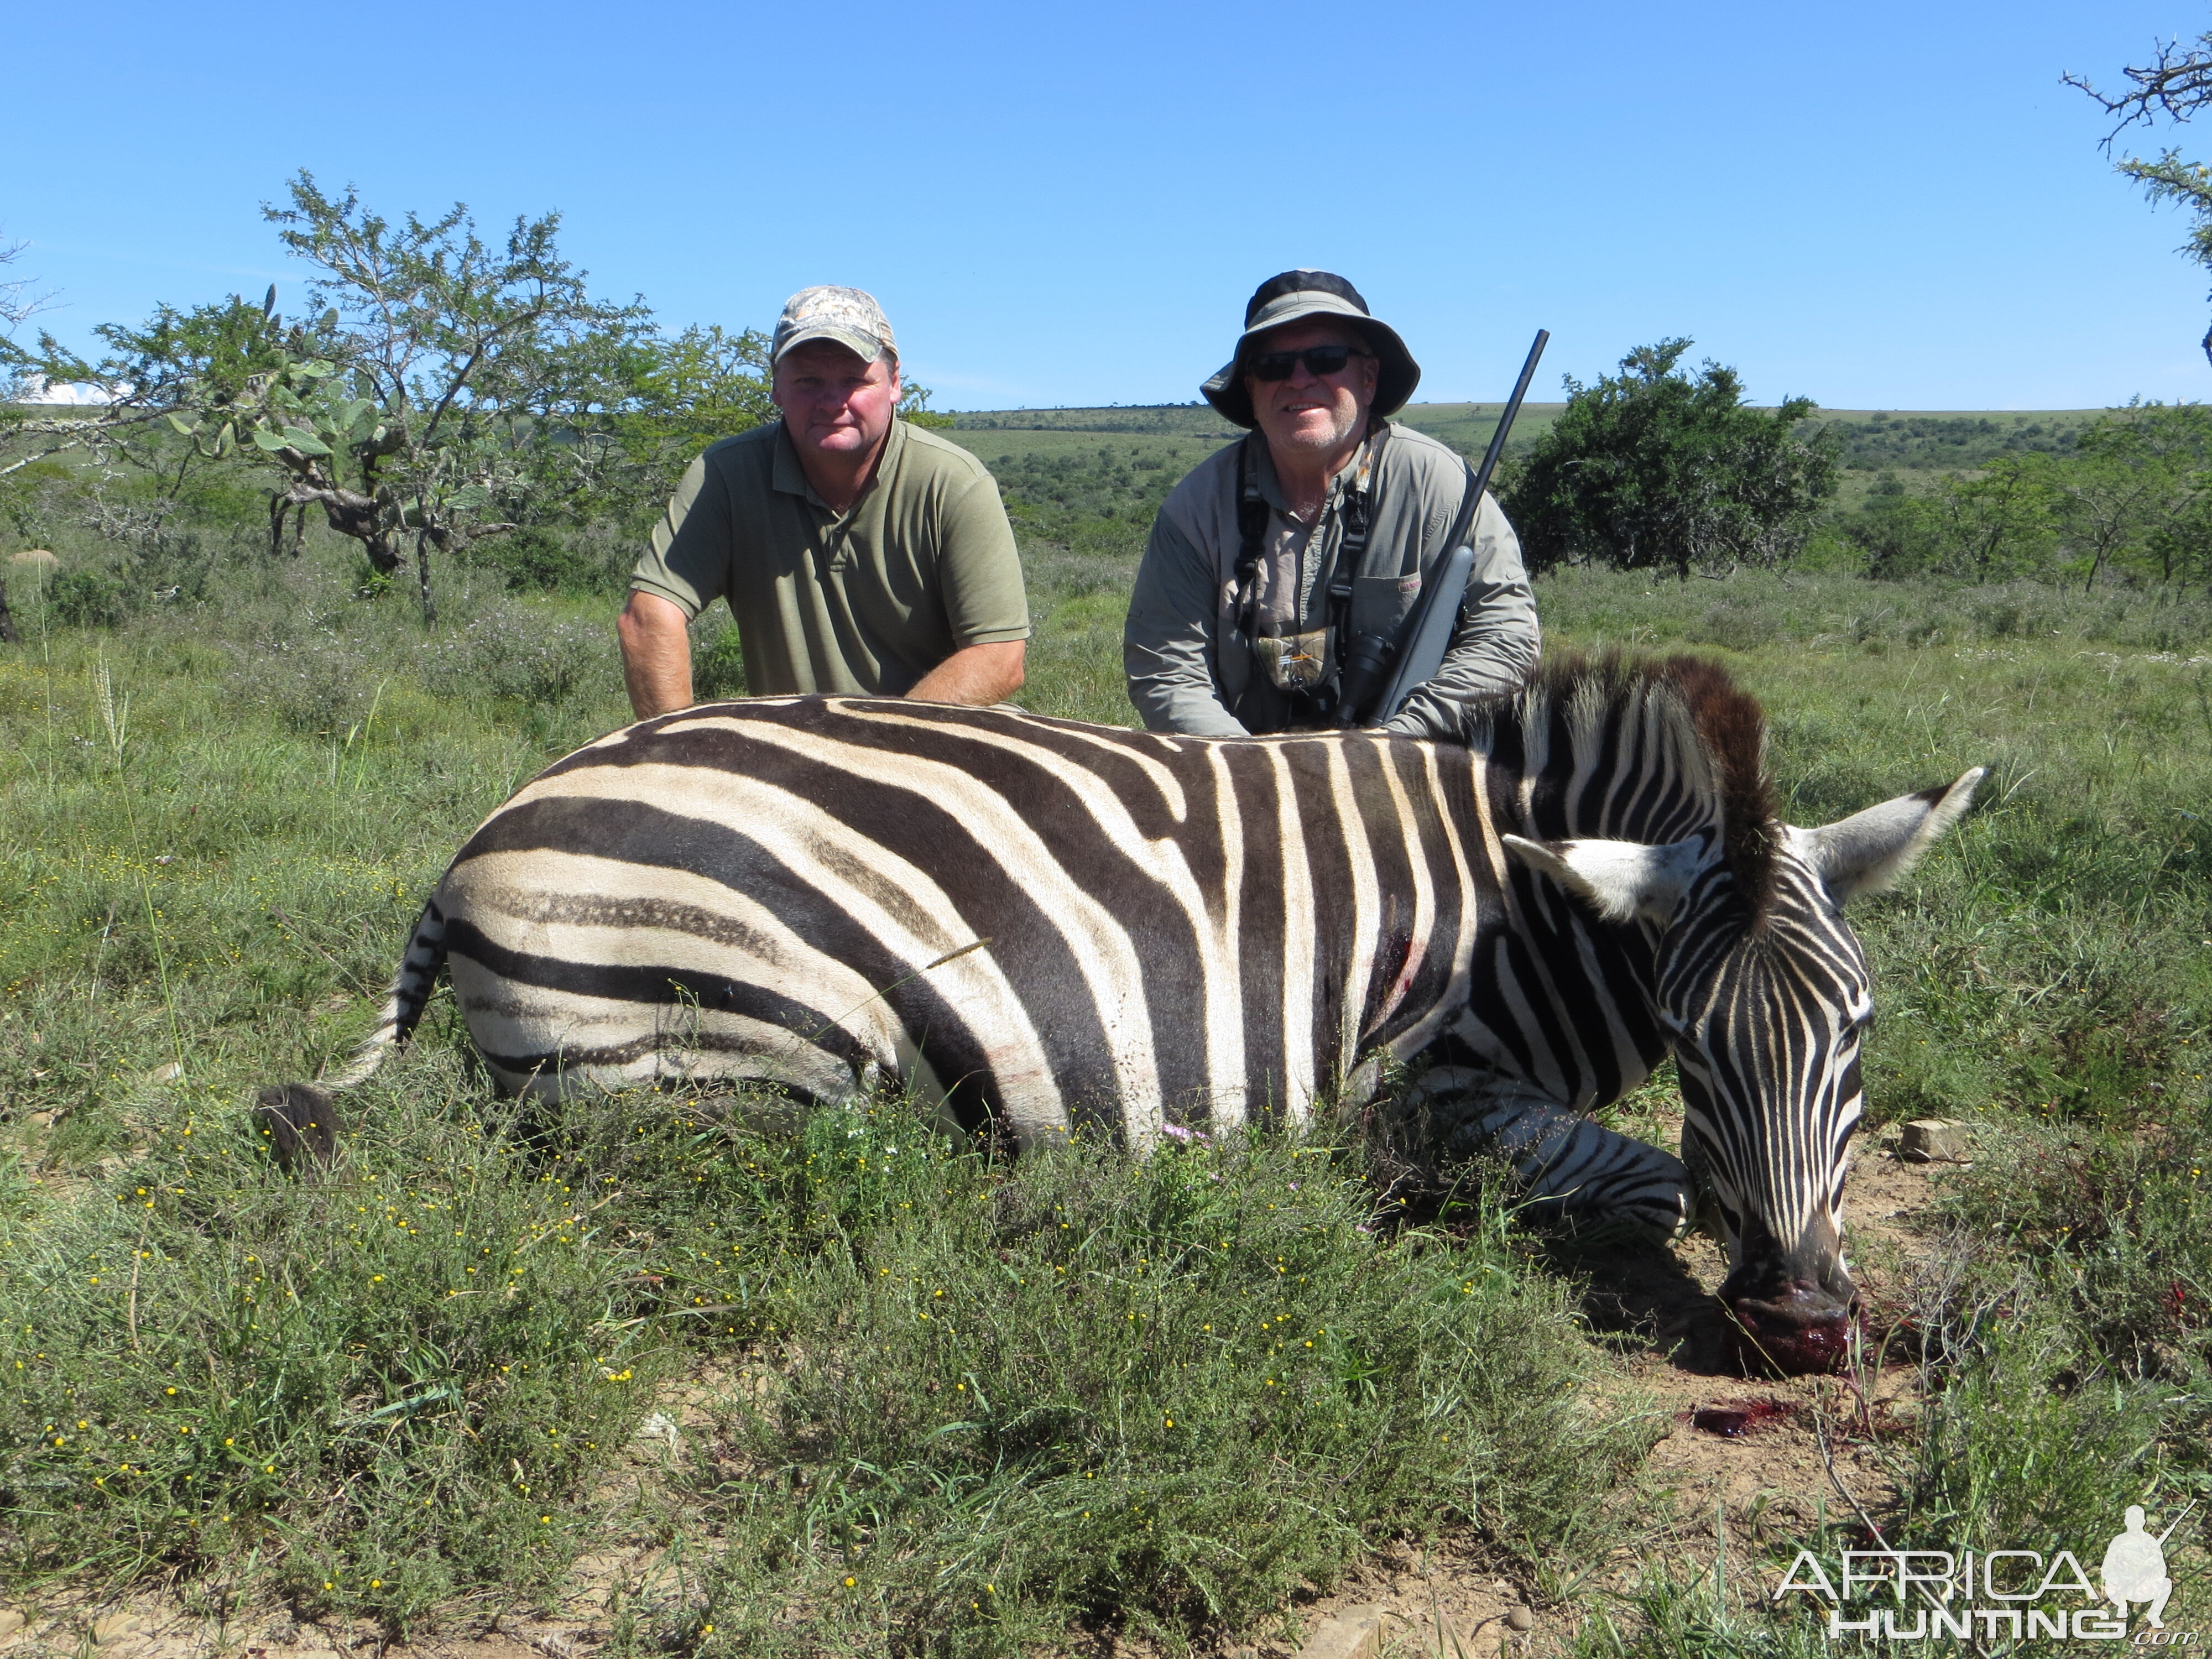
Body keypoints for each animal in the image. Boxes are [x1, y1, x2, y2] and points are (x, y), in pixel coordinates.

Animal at [268, 655, 1982, 1380]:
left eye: (1862, 1034)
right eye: (1692, 1043)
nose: (1805, 1328)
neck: (1524, 910)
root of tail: (483, 834)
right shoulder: (1413, 1084)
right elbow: (1651, 1178)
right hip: (752, 1053)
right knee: (848, 1194)